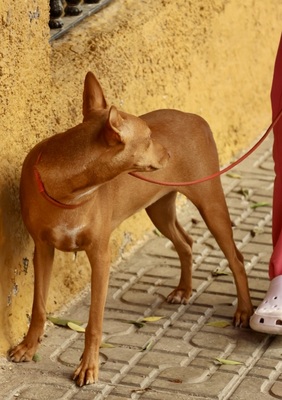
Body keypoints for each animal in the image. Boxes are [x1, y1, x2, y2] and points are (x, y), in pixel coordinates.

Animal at [9, 72, 253, 388]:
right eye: (148, 138)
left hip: (210, 203)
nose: (169, 154)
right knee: (185, 242)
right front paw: (29, 347)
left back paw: (244, 310)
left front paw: (88, 367)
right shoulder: (42, 249)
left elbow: (94, 322)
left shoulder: (101, 257)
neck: (67, 190)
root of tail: (194, 116)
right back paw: (184, 289)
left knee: (236, 258)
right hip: (159, 209)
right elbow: (38, 307)